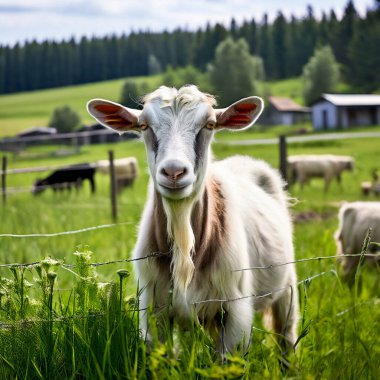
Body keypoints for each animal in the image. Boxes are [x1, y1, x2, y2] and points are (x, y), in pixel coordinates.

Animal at [87, 85, 298, 356]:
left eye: (209, 124)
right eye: (144, 125)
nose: (174, 172)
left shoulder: (235, 312)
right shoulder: (154, 310)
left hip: (287, 287)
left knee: (287, 335)